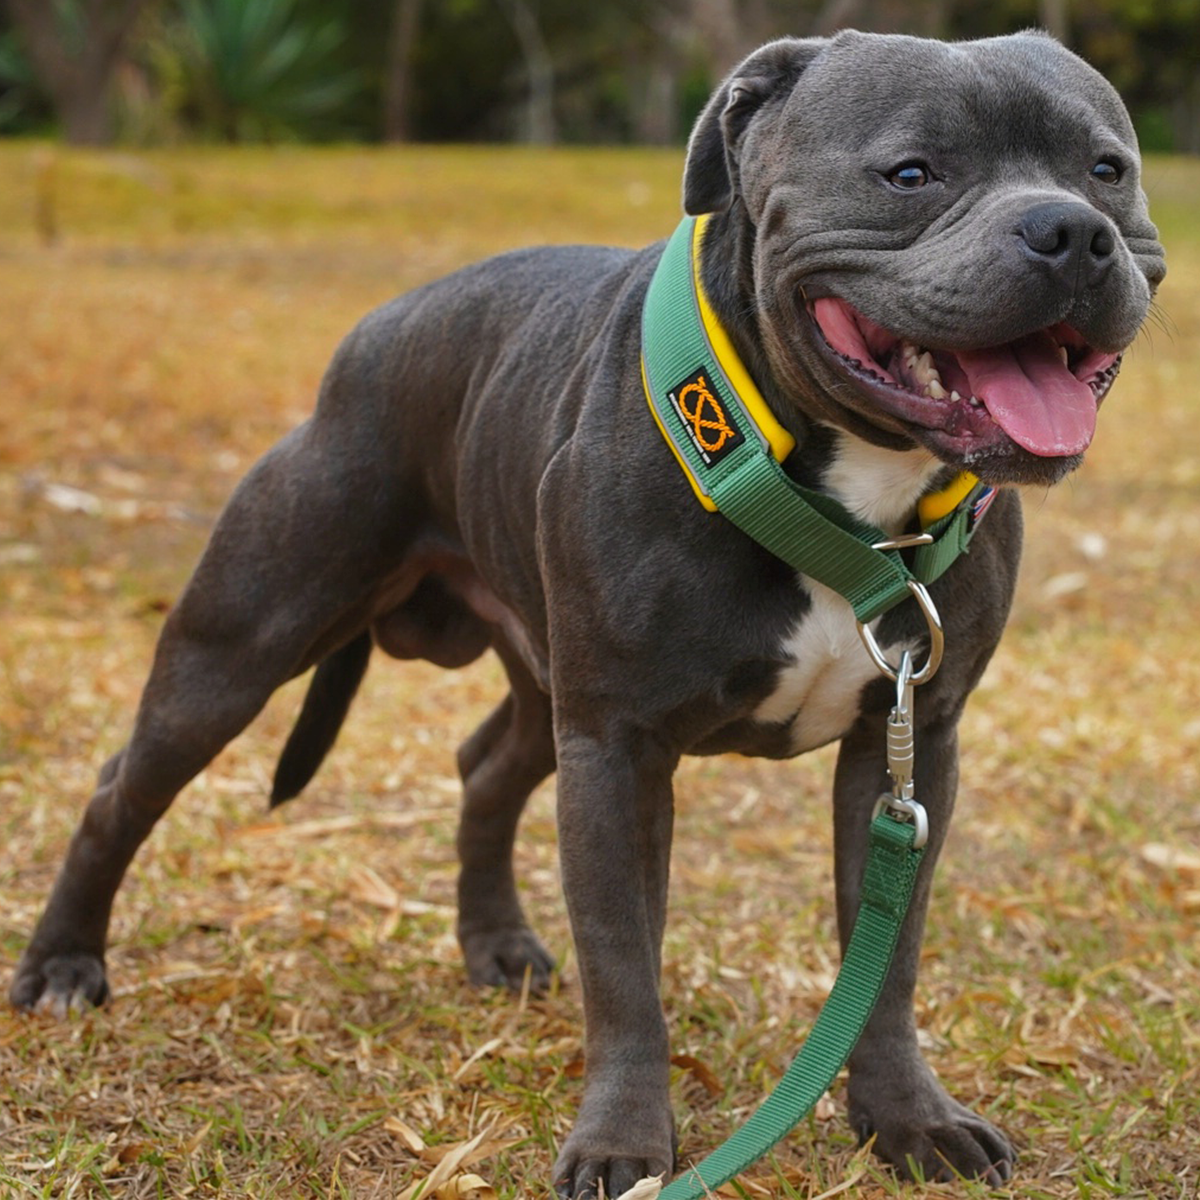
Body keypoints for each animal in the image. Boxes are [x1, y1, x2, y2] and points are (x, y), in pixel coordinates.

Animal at [11, 30, 1161, 1200]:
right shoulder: (617, 750)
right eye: (912, 173)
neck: (843, 495)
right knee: (121, 789)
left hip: (540, 681)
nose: (1070, 230)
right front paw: (623, 1144)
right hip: (241, 646)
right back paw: (63, 965)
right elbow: (625, 969)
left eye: (1107, 170)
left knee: (484, 767)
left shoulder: (908, 744)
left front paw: (908, 1119)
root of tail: (378, 331)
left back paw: (494, 945)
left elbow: (886, 959)